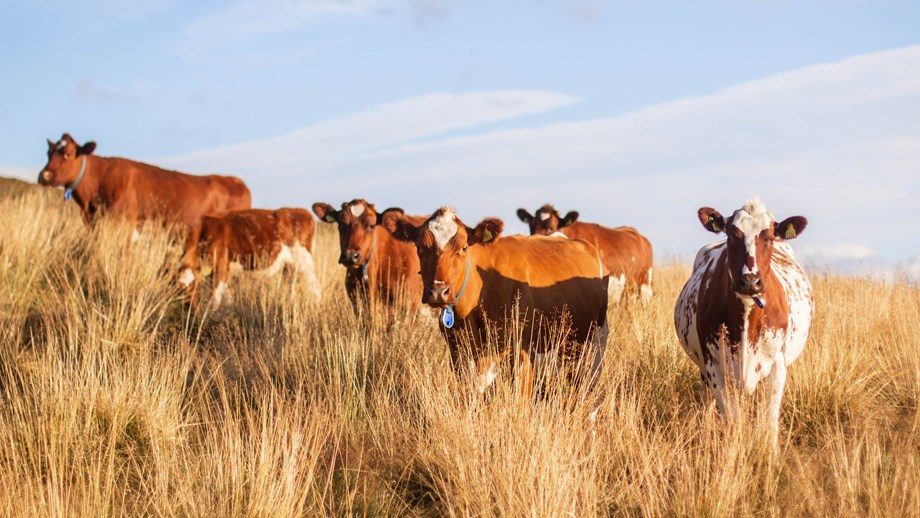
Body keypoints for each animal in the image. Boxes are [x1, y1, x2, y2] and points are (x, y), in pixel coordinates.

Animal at [178, 209, 322, 310]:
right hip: (290, 266)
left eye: (193, 287)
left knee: (315, 288)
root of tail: (302, 211)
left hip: (304, 262)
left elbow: (215, 299)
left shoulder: (220, 266)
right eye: (179, 291)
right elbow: (227, 296)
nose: (190, 310)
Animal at [382, 208, 612, 402]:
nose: (438, 291)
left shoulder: (521, 355)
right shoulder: (458, 353)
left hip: (595, 345)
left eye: (463, 247)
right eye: (419, 247)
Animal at [676, 199, 812, 446]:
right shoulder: (714, 366)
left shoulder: (777, 366)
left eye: (769, 237)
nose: (750, 281)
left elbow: (769, 422)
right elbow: (732, 421)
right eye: (732, 236)